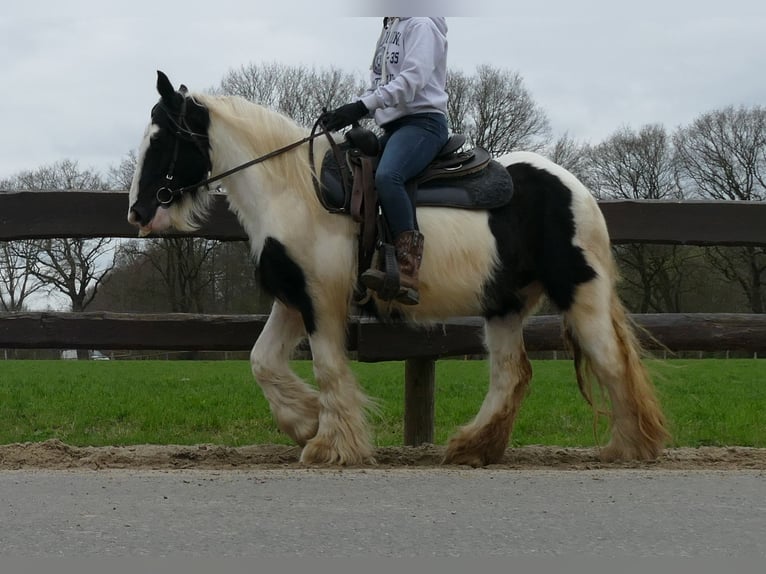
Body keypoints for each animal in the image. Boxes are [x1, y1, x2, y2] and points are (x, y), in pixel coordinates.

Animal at [129, 72, 668, 468]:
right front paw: (306, 421)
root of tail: (578, 190)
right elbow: (262, 362)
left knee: (610, 361)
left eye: (162, 138)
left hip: (579, 292)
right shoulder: (293, 298)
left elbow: (327, 367)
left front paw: (330, 445)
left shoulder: (321, 301)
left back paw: (629, 446)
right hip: (503, 305)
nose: (138, 212)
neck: (297, 191)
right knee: (511, 373)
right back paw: (472, 447)